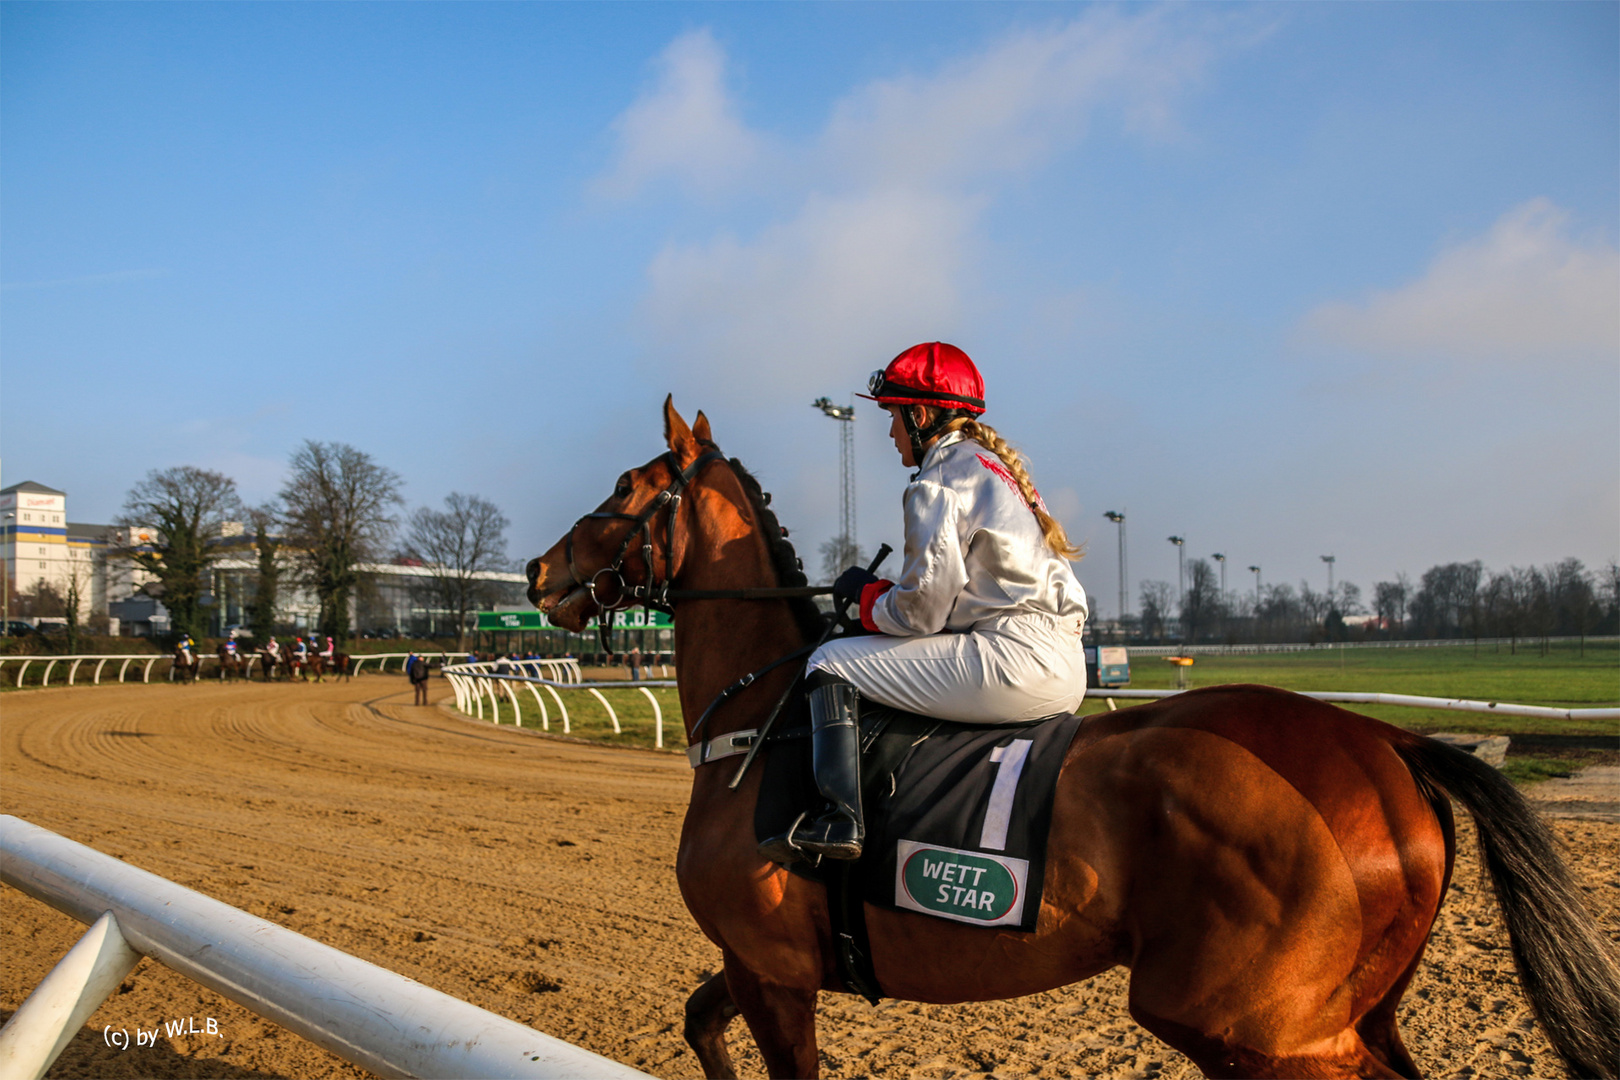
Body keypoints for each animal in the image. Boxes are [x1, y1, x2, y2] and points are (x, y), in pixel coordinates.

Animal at [524, 403, 1613, 1080]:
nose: (537, 572)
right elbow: (695, 1020)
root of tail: (1391, 750)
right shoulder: (751, 965)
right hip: (1349, 1010)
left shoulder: (775, 970)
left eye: (624, 487)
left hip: (1258, 1027)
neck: (763, 720)